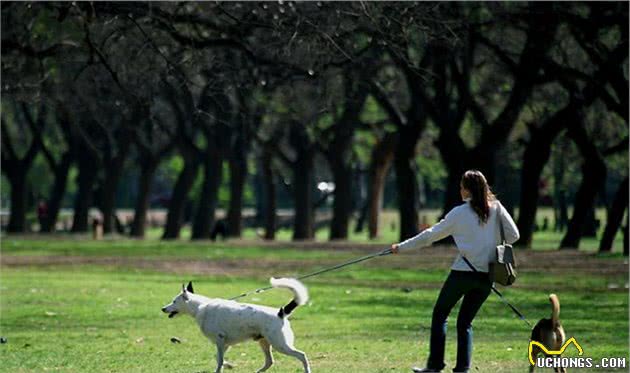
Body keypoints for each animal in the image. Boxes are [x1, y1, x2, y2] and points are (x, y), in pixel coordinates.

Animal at [163, 278, 312, 370]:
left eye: (174, 301)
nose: (163, 309)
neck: (201, 307)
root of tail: (280, 312)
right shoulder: (224, 344)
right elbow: (218, 359)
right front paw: (227, 365)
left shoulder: (220, 340)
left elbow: (219, 361)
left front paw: (222, 367)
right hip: (264, 342)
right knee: (270, 362)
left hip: (280, 344)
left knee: (302, 355)